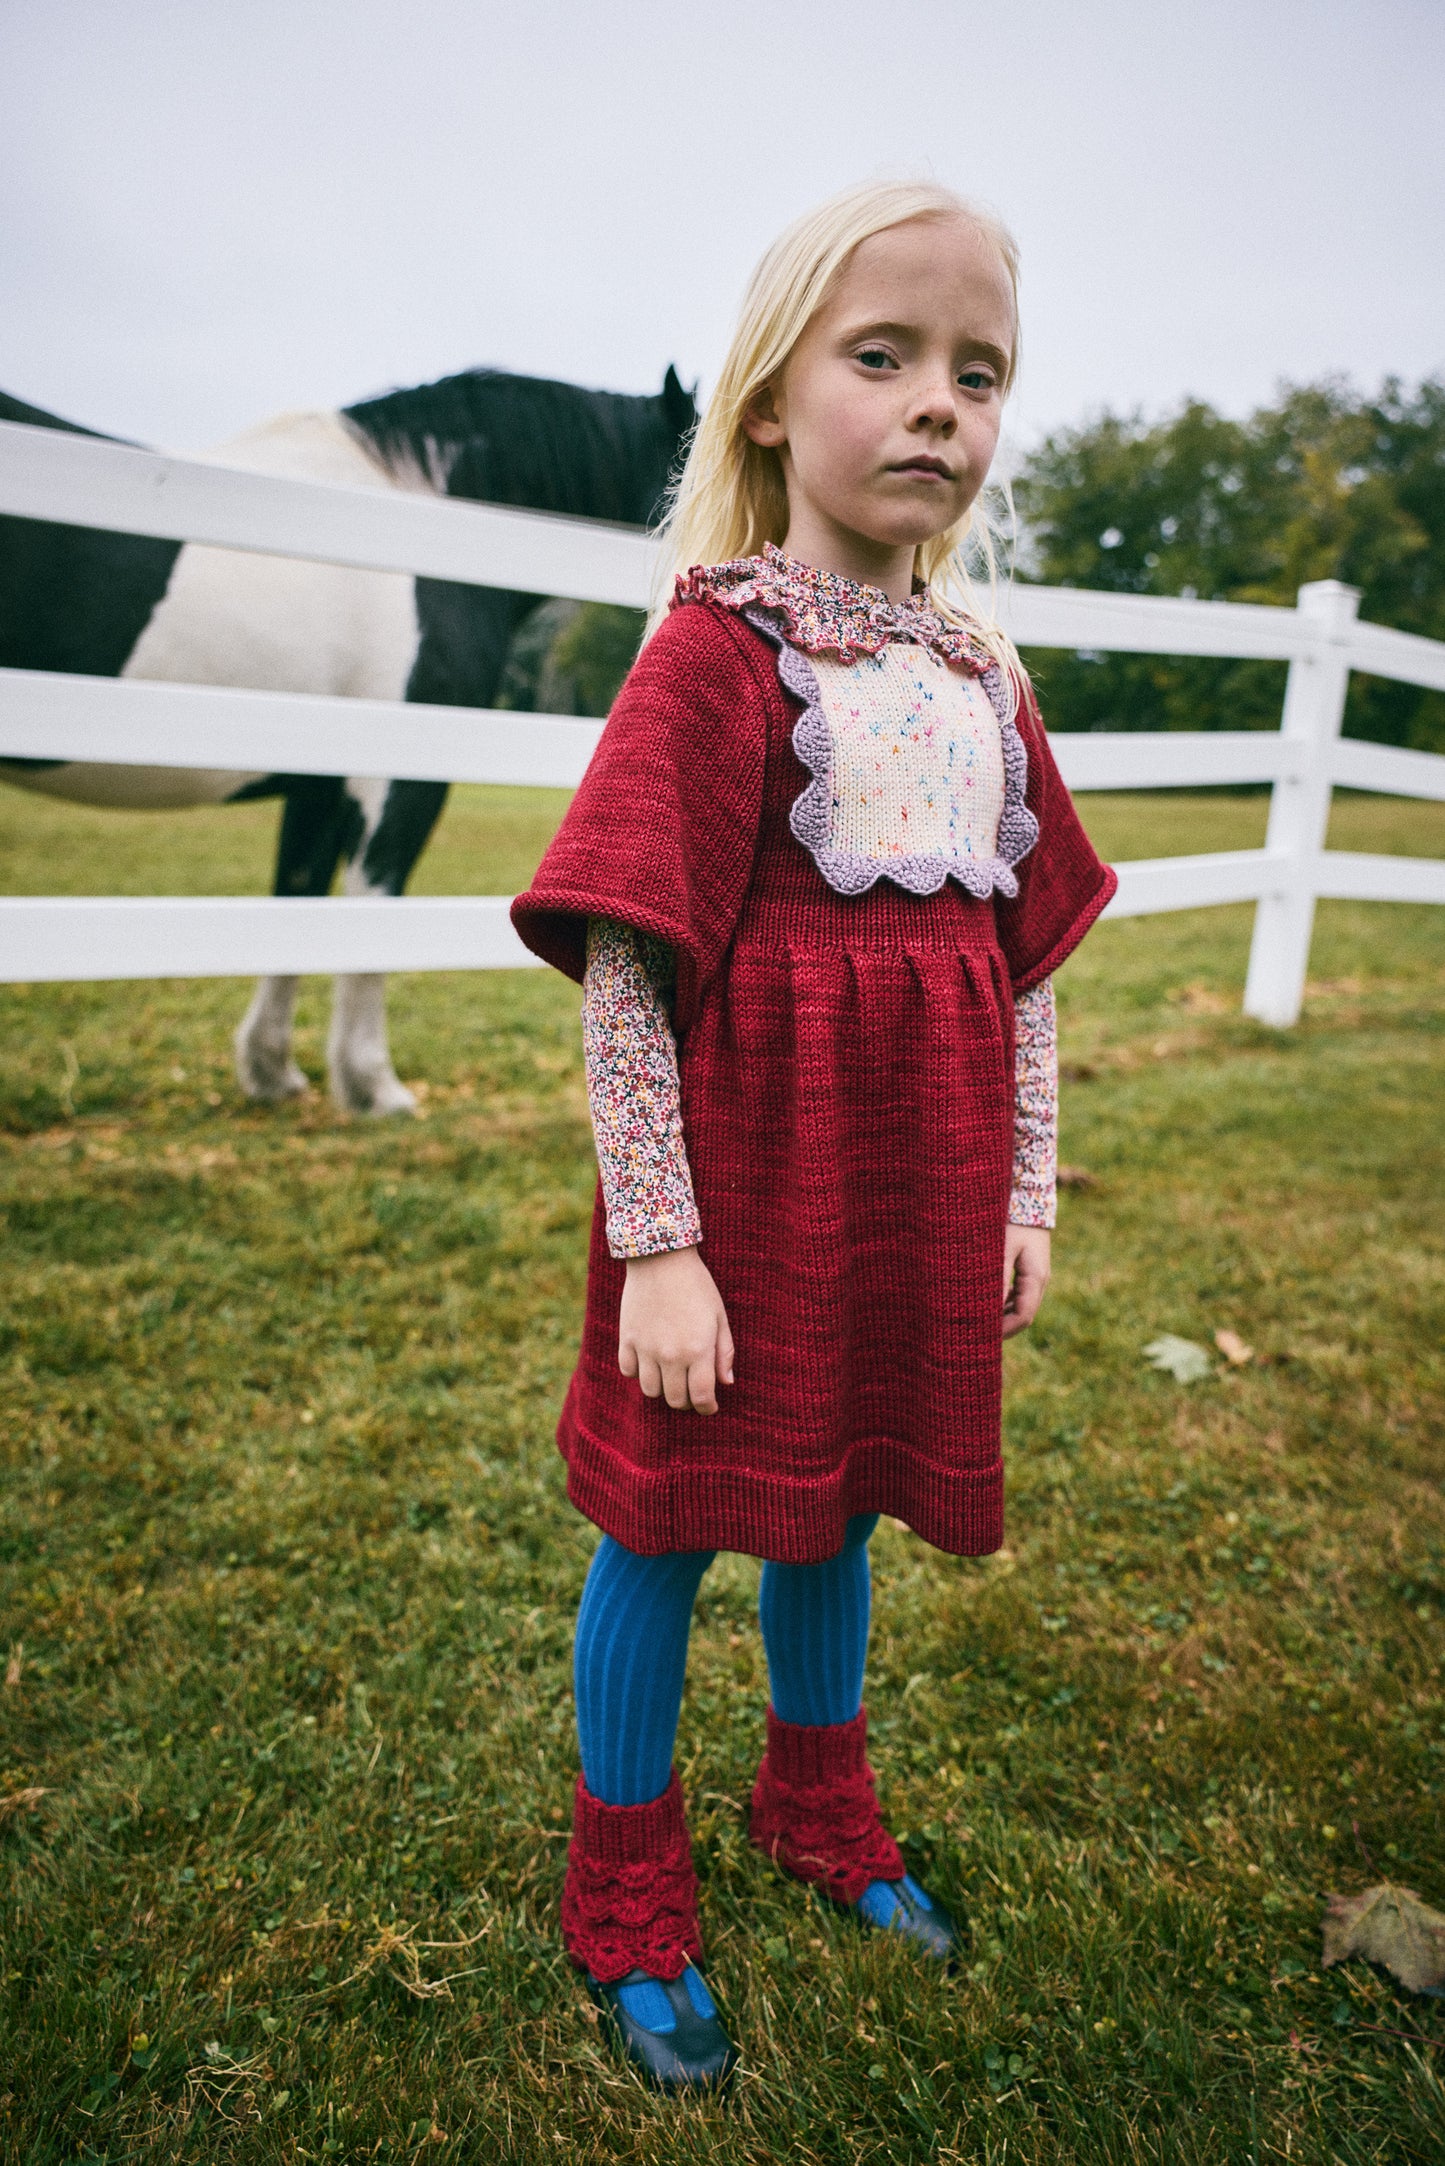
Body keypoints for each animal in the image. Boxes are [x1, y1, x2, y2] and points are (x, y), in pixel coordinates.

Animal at [0, 370, 693, 1108]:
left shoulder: (319, 781)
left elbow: (298, 899)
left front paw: (271, 1070)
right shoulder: (399, 778)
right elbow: (371, 906)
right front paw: (372, 1083)